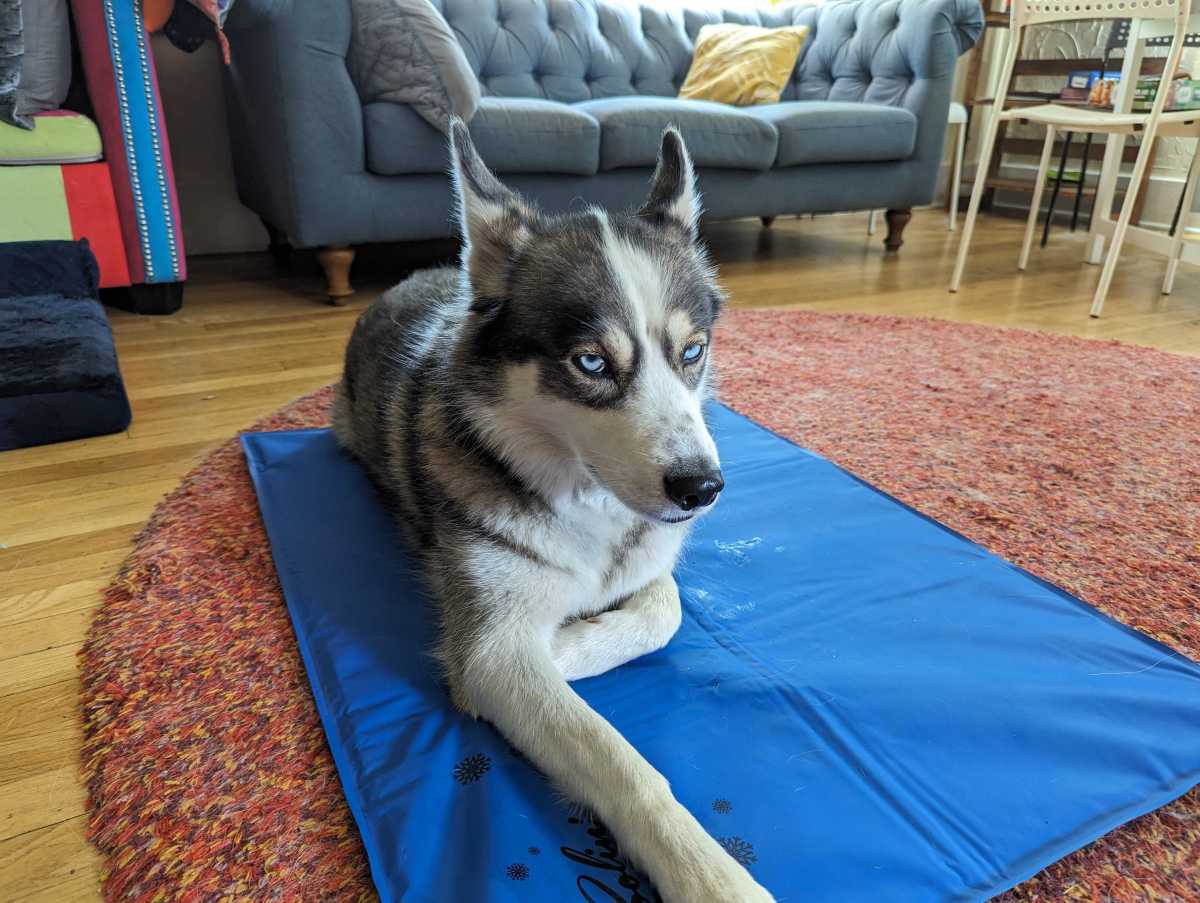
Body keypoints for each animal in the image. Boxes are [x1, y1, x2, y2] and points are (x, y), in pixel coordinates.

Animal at [333, 121, 772, 903]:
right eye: (591, 362)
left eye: (692, 351)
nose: (701, 489)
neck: (585, 506)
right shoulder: (494, 643)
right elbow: (619, 761)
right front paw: (710, 874)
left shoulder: (650, 561)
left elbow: (664, 612)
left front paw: (570, 644)